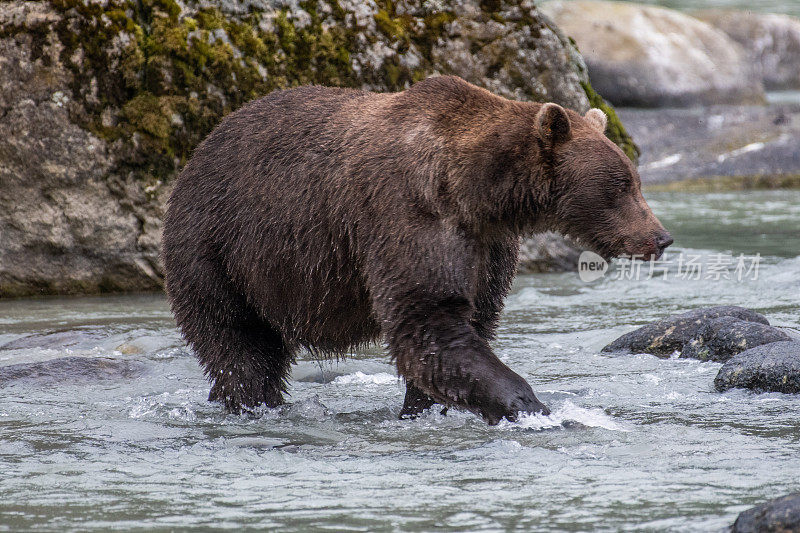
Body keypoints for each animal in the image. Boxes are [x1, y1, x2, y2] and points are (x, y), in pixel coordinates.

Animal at [161, 75, 668, 424]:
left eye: (635, 180)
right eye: (621, 185)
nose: (660, 237)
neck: (477, 192)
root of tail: (198, 151)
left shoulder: (487, 248)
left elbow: (468, 324)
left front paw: (426, 408)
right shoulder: (410, 214)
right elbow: (428, 320)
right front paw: (533, 407)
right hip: (217, 248)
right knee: (240, 346)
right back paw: (251, 404)